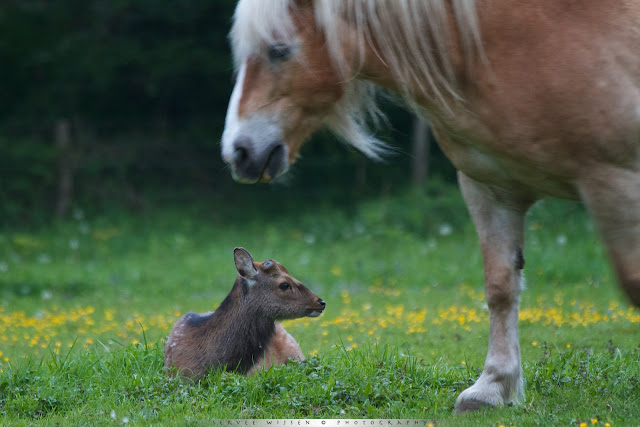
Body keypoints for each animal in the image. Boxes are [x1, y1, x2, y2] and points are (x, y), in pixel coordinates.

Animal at [219, 0, 640, 414]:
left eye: (278, 50)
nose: (238, 152)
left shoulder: (615, 179)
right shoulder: (489, 186)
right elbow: (500, 287)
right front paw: (491, 389)